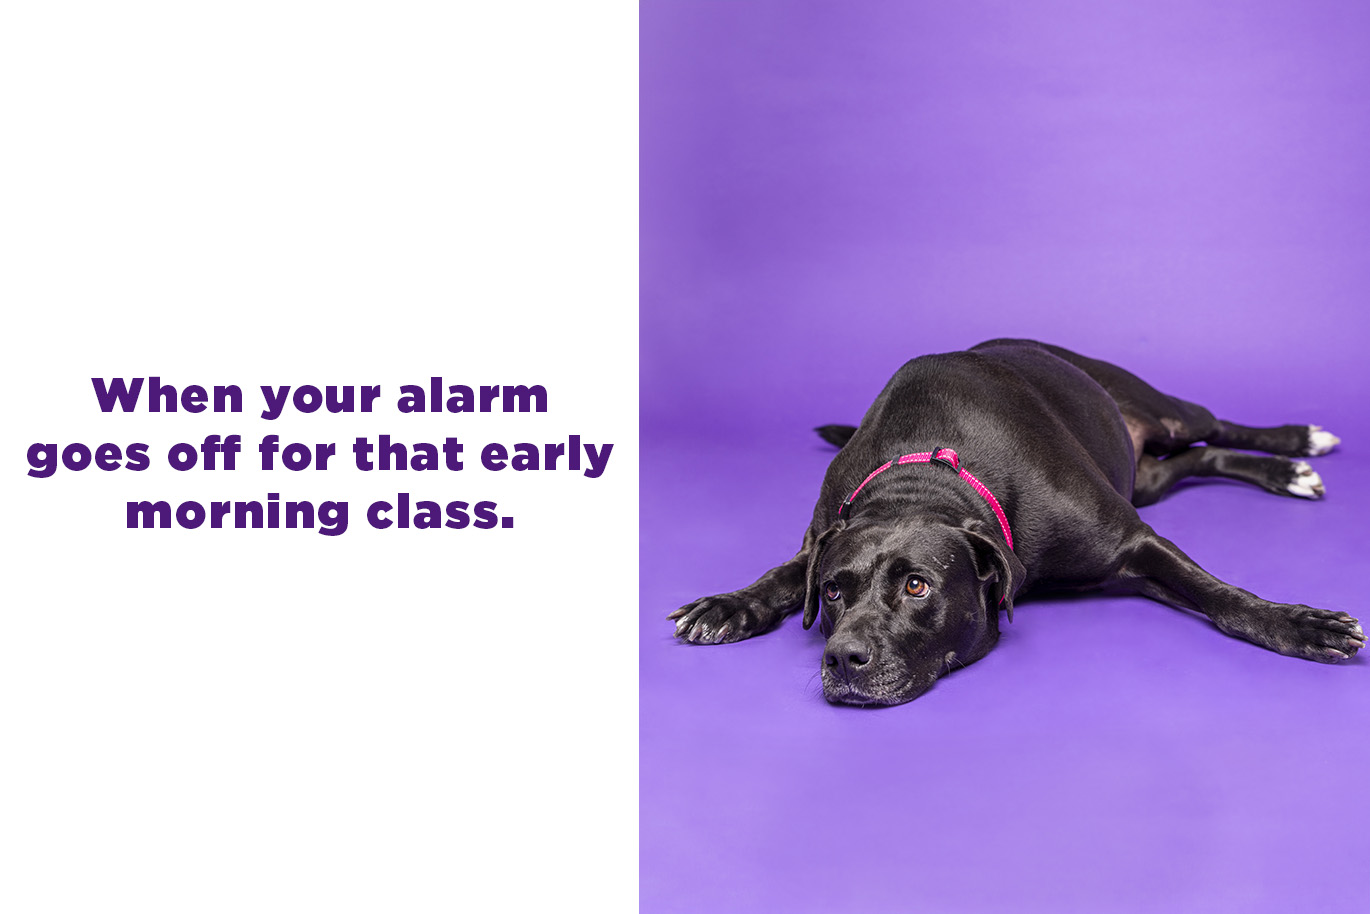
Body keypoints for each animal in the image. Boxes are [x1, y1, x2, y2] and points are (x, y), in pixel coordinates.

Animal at [668, 339, 1364, 707]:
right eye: (834, 592)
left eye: (917, 586)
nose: (841, 658)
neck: (924, 474)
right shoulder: (820, 537)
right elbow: (781, 575)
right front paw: (728, 605)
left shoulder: (1135, 542)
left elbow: (1219, 596)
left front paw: (1300, 624)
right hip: (1149, 477)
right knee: (1201, 458)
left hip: (1168, 411)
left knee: (1217, 428)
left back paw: (1299, 445)